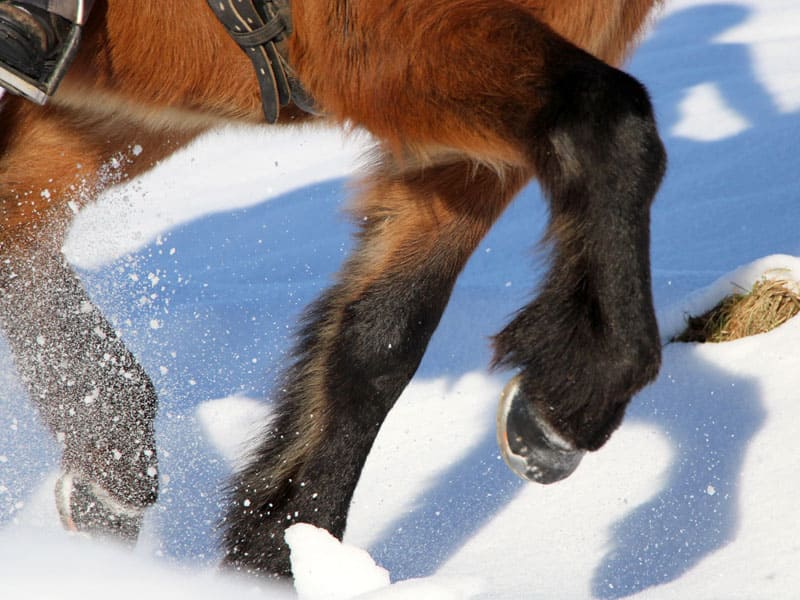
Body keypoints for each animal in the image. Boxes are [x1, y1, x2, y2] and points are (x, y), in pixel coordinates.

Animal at [0, 0, 668, 580]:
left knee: (18, 223)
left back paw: (113, 458)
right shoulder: (385, 41)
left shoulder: (460, 150)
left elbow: (379, 343)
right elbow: (617, 128)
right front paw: (574, 395)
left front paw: (283, 548)